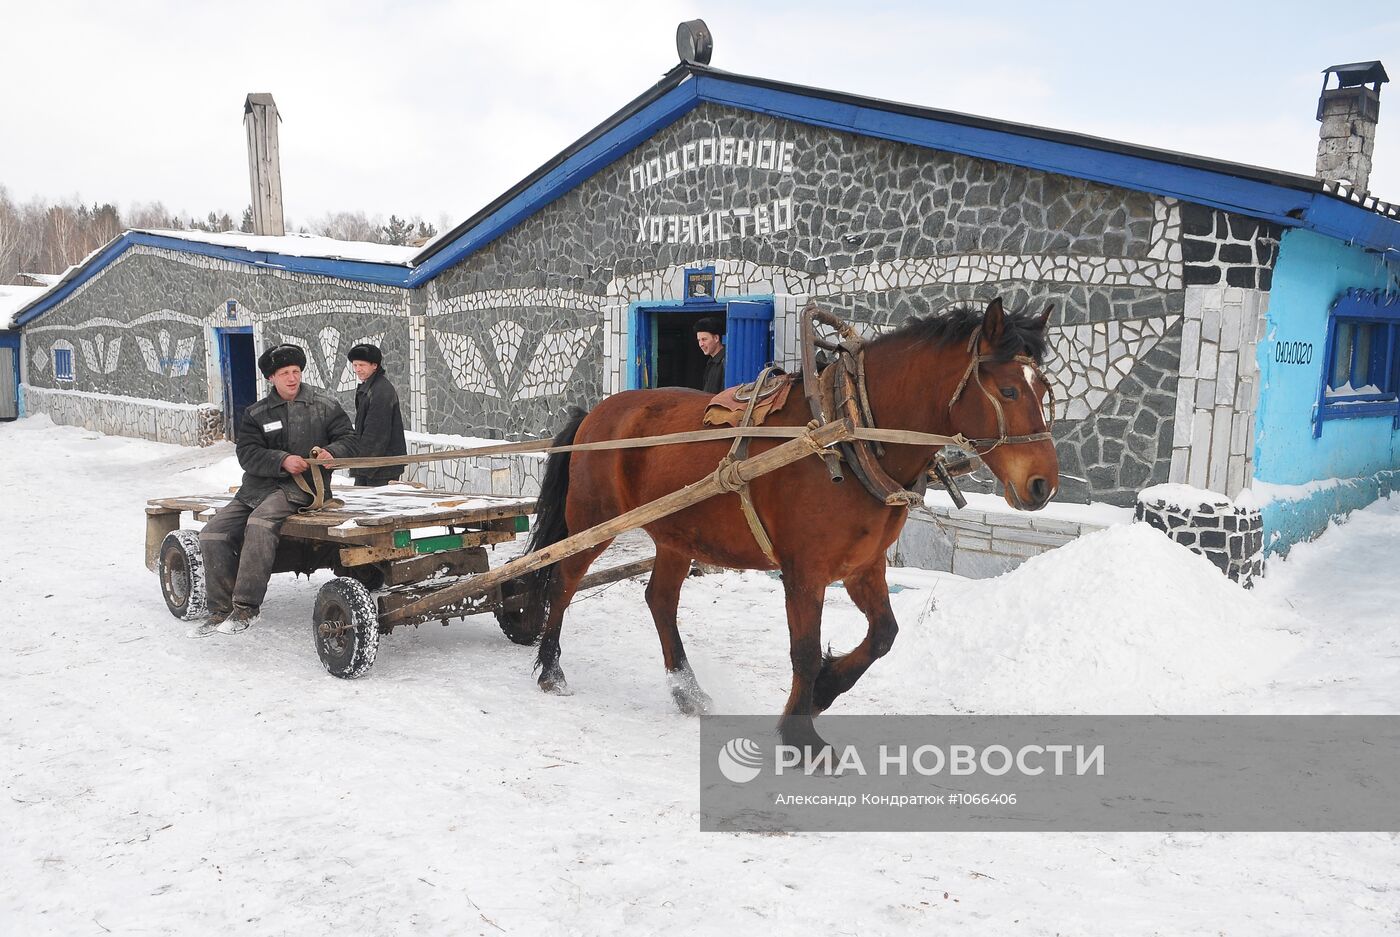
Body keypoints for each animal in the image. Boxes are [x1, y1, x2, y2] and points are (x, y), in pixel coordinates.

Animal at [520, 295, 1052, 739]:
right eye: (1008, 390)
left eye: (1044, 387)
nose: (1042, 484)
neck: (847, 432)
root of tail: (593, 413)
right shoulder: (804, 571)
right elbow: (805, 653)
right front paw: (801, 737)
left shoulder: (863, 567)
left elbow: (883, 636)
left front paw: (825, 692)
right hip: (593, 519)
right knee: (562, 581)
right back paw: (551, 670)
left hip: (676, 534)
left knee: (660, 600)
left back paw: (687, 692)